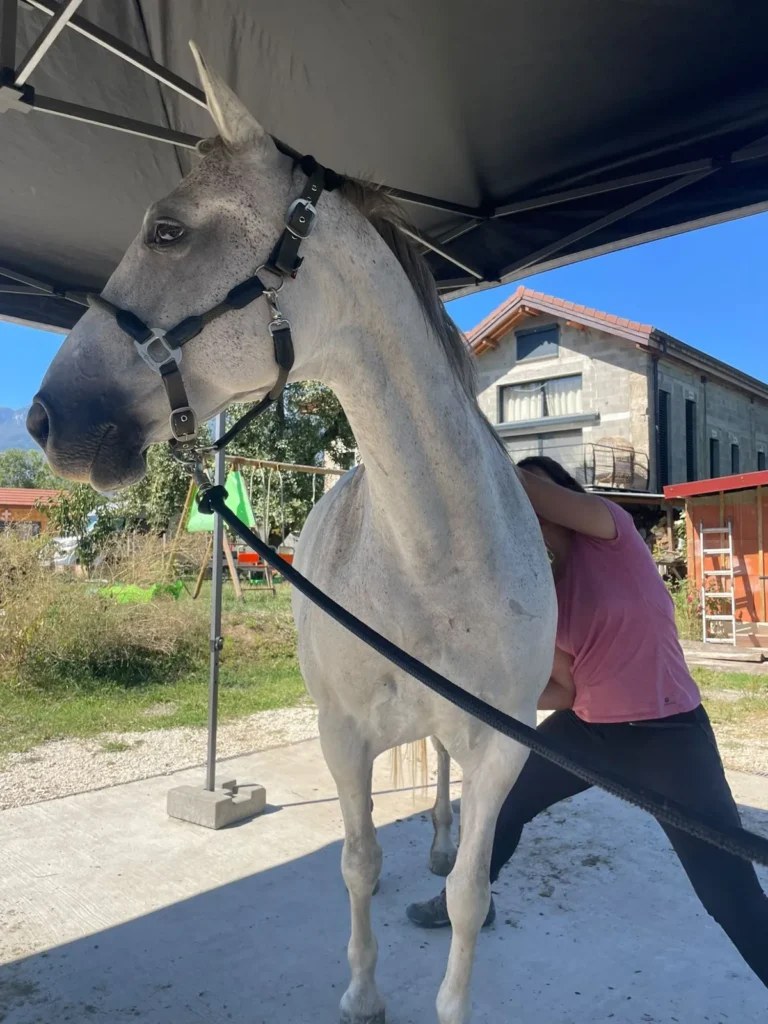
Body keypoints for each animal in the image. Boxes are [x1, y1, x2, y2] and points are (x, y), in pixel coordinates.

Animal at [27, 46, 556, 1024]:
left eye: (168, 231)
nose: (47, 418)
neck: (435, 561)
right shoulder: (342, 737)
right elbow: (358, 863)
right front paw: (362, 992)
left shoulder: (503, 748)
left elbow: (469, 895)